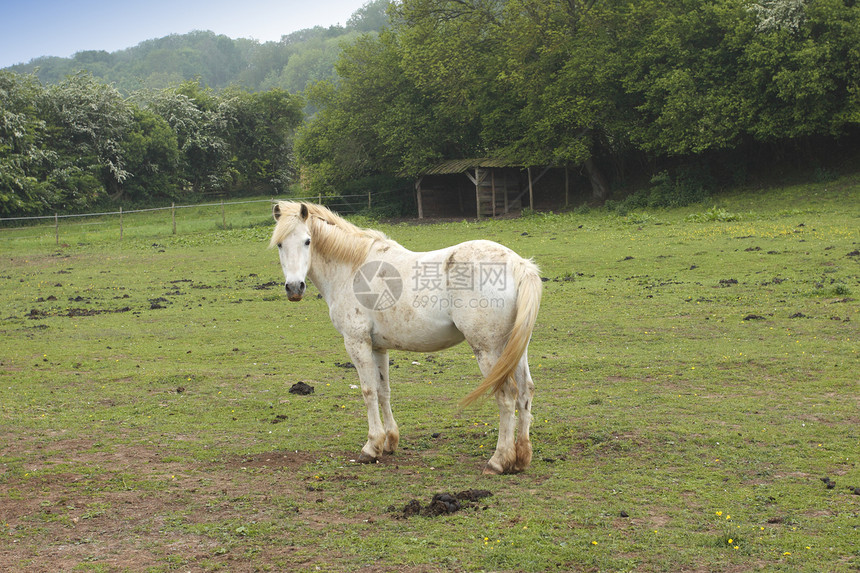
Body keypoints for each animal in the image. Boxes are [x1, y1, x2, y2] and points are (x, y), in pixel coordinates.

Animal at [272, 201, 540, 474]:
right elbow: (383, 390)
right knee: (525, 392)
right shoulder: (378, 348)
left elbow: (368, 391)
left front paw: (371, 447)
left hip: (488, 350)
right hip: (514, 349)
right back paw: (521, 457)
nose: (294, 288)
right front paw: (389, 442)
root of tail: (518, 264)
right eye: (280, 244)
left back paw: (498, 460)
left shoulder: (357, 342)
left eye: (307, 241)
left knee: (506, 395)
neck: (353, 268)